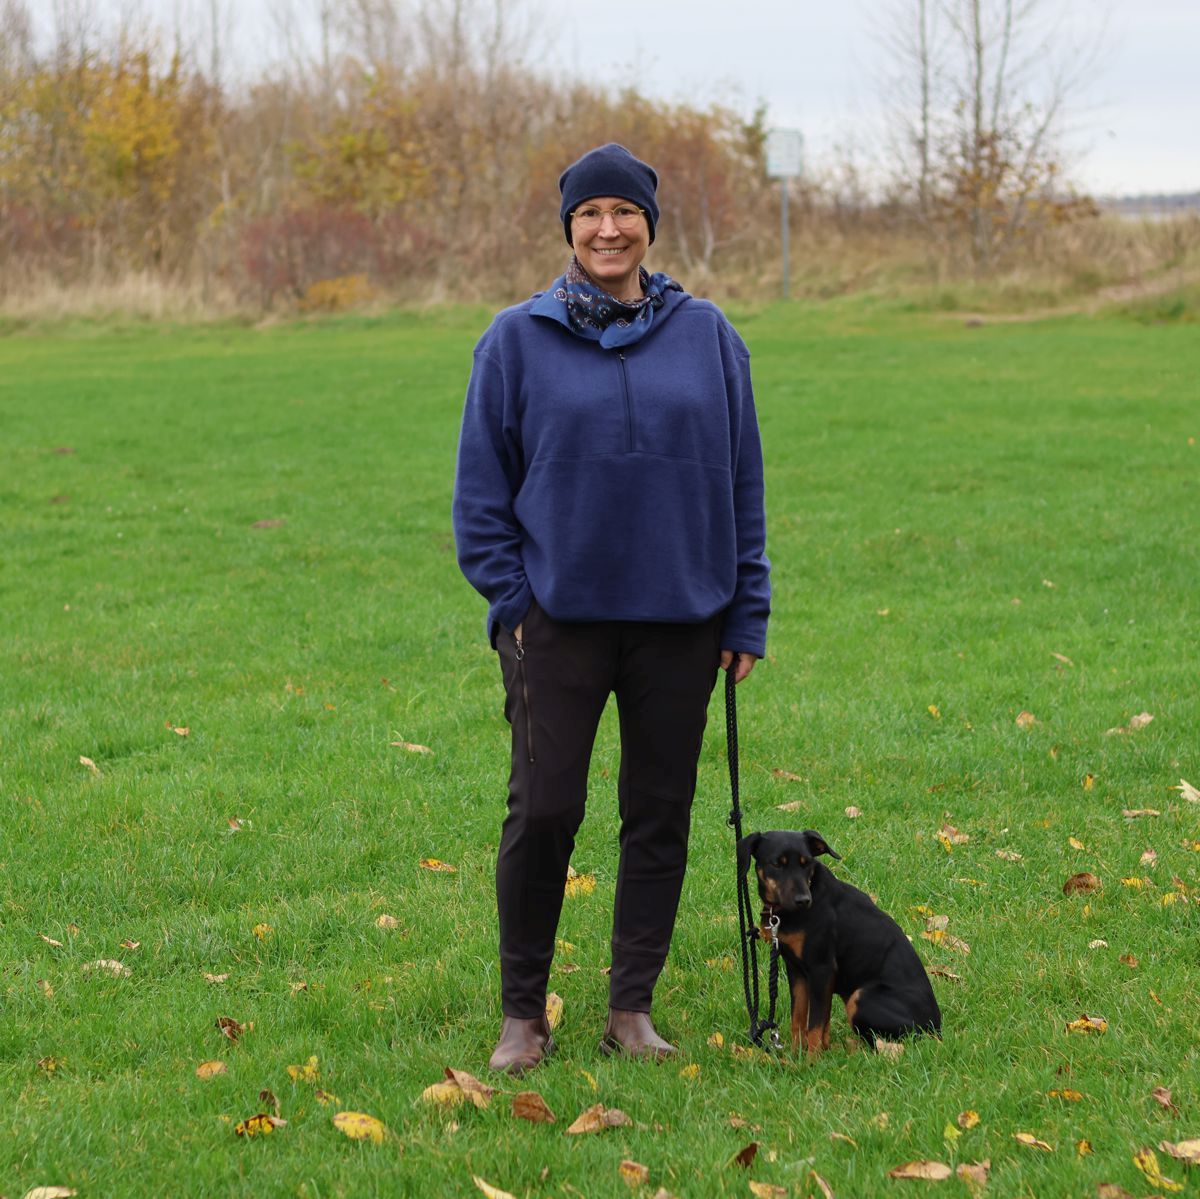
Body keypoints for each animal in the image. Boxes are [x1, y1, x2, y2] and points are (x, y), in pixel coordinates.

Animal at [734, 830, 940, 1056]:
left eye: (807, 863)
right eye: (777, 864)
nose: (803, 900)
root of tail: (935, 1031)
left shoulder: (821, 969)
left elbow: (815, 1026)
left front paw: (811, 1061)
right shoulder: (797, 970)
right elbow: (800, 1019)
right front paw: (796, 1056)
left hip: (861, 998)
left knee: (882, 1044)